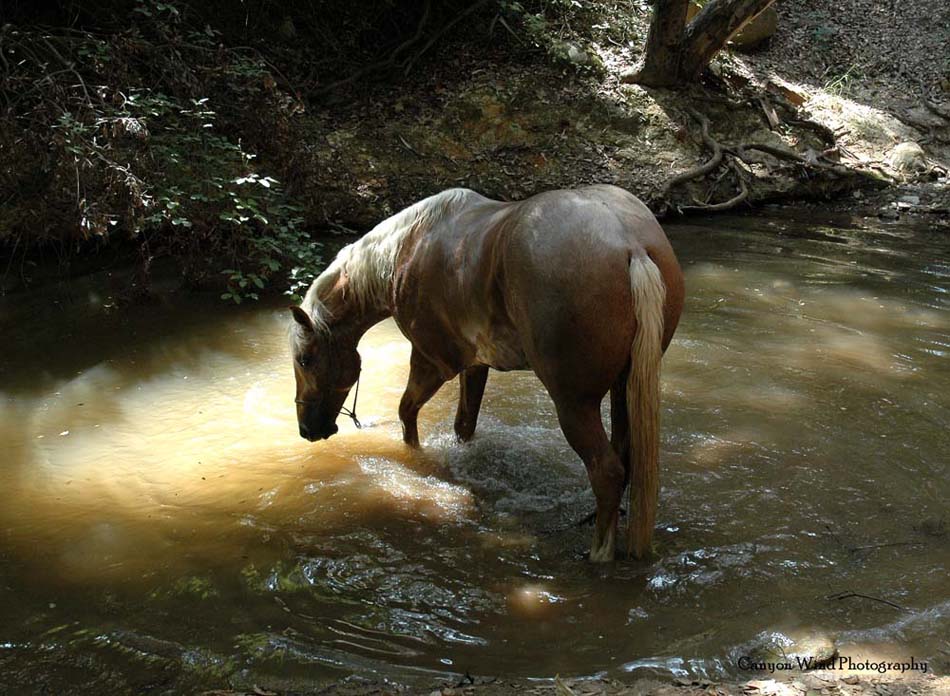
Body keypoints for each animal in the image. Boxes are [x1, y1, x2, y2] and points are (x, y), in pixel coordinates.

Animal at [290, 184, 684, 560]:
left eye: (305, 359)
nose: (308, 430)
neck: (406, 251)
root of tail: (630, 245)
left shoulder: (432, 362)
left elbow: (407, 412)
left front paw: (415, 457)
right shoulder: (476, 365)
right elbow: (464, 425)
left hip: (575, 403)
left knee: (607, 471)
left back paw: (598, 552)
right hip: (623, 388)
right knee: (625, 459)